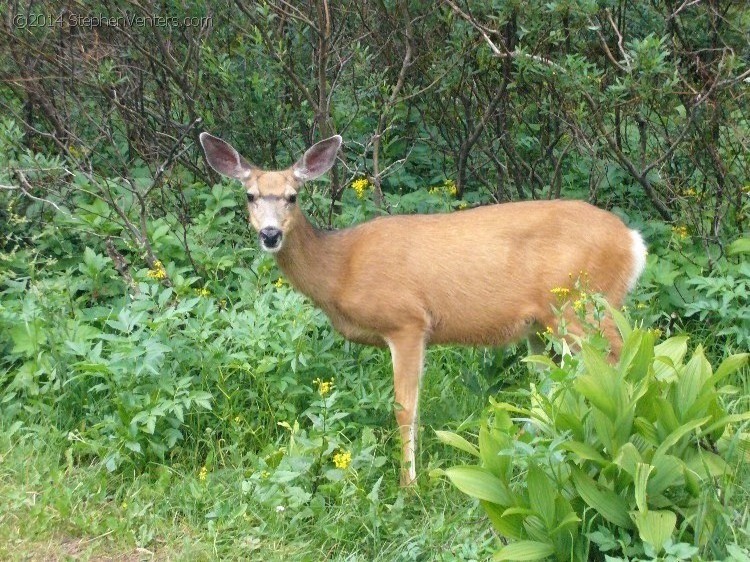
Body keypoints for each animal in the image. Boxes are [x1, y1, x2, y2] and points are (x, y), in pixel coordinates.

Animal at [201, 132, 652, 486]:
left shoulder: (407, 321)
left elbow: (405, 408)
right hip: (545, 325)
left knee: (617, 366)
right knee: (554, 385)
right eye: (250, 196)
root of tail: (633, 242)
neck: (341, 268)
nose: (270, 234)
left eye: (292, 197)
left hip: (583, 306)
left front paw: (409, 484)